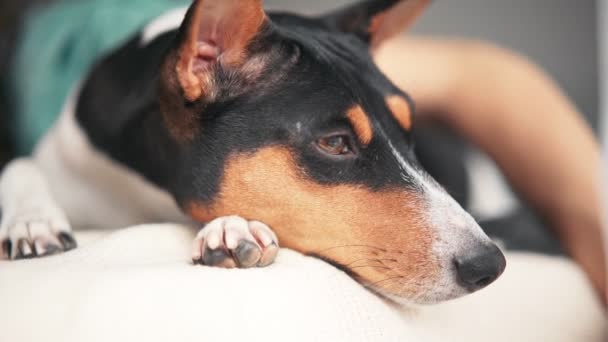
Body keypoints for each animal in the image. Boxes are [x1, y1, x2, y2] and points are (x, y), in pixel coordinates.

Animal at [0, 0, 508, 304]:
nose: (491, 265)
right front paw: (31, 220)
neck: (144, 199)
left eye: (409, 130)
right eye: (335, 143)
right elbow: (20, 166)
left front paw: (232, 228)